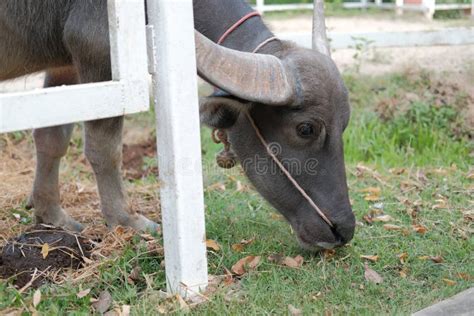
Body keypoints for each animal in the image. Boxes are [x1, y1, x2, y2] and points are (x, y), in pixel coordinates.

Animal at [0, 0, 356, 251]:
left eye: (344, 126)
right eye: (306, 129)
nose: (343, 229)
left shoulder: (65, 67)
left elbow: (52, 138)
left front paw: (51, 214)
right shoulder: (98, 52)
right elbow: (105, 149)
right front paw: (126, 219)